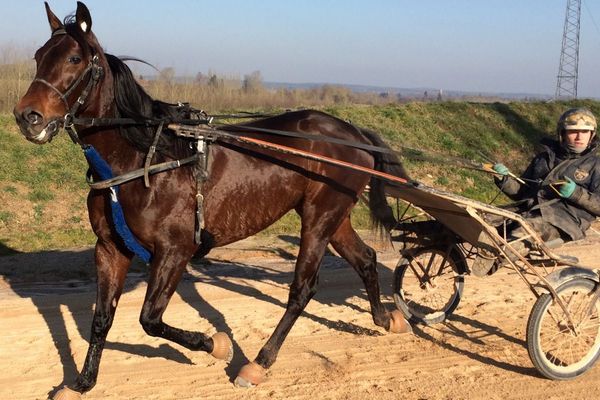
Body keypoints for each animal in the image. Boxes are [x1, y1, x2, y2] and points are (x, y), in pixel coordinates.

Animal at [11, 2, 412, 396]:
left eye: (75, 58)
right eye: (39, 55)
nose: (27, 116)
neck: (142, 159)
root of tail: (352, 132)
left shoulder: (175, 249)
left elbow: (150, 318)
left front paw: (216, 345)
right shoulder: (110, 247)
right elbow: (101, 319)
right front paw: (81, 383)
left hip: (319, 217)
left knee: (303, 289)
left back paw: (259, 362)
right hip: (335, 215)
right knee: (365, 258)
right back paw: (385, 318)